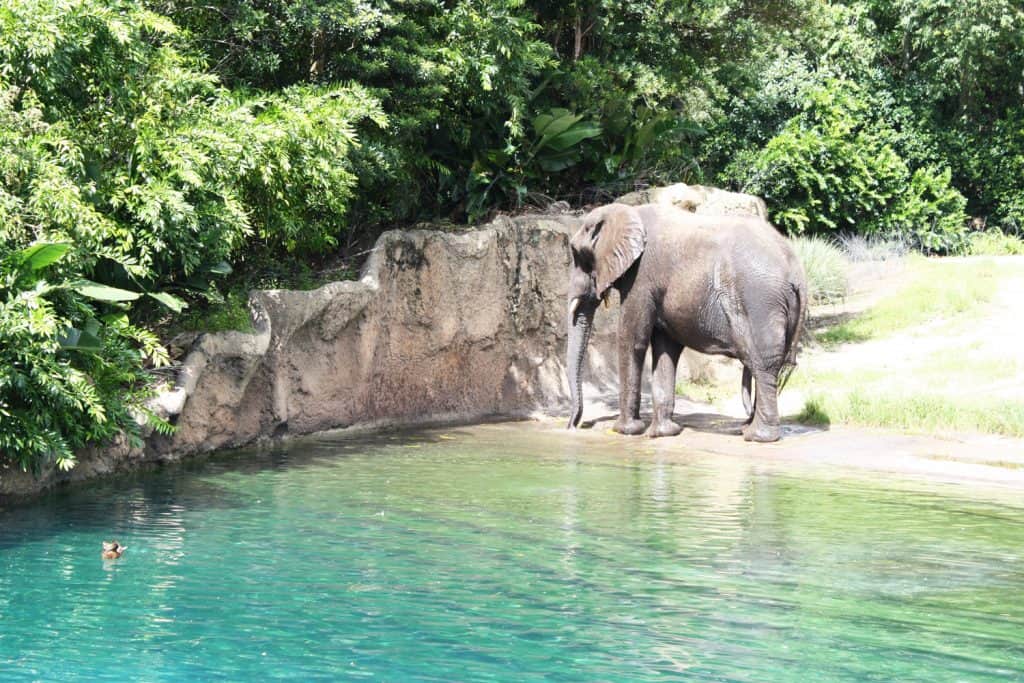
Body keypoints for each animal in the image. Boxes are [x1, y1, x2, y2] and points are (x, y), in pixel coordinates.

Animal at [565, 202, 807, 442]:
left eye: (577, 255)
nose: (574, 426)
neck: (625, 211)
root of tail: (797, 273)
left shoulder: (641, 277)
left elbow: (632, 339)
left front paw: (625, 431)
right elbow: (666, 347)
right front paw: (663, 434)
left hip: (760, 302)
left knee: (764, 364)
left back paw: (757, 436)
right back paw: (747, 429)